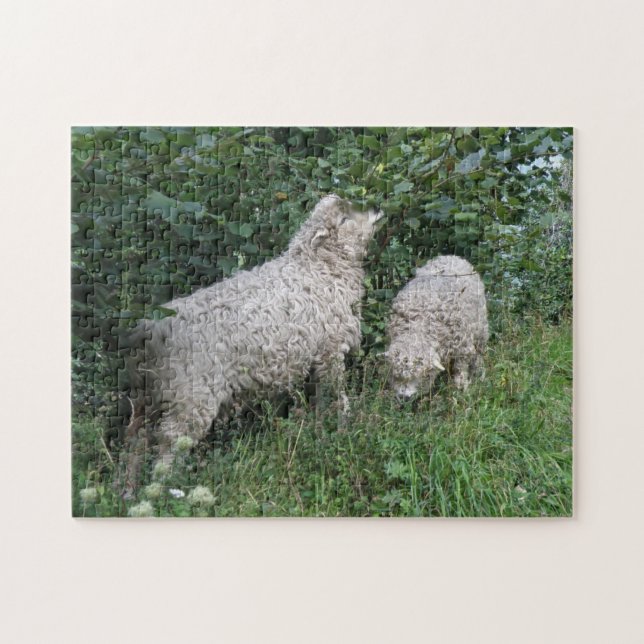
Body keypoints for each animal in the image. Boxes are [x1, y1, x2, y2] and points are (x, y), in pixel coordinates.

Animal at [120, 194, 383, 493]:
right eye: (344, 219)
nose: (376, 208)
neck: (319, 268)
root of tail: (150, 330)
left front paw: (319, 431)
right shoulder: (330, 350)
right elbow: (337, 395)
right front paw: (344, 426)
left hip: (147, 397)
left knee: (135, 440)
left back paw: (127, 490)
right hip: (190, 395)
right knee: (170, 441)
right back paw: (163, 489)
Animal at [385, 255, 488, 399]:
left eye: (419, 376)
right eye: (397, 375)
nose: (404, 397)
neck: (419, 325)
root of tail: (450, 256)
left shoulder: (462, 348)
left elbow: (460, 370)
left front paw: (461, 389)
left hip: (481, 328)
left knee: (479, 353)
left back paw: (479, 373)